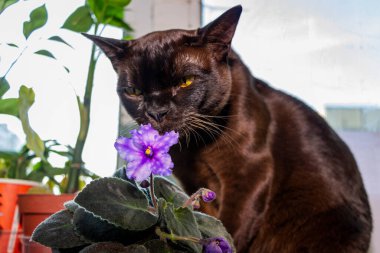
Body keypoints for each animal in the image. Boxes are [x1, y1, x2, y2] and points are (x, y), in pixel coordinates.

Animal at [83, 4, 372, 252]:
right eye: (133, 91)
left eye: (186, 81)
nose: (156, 112)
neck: (193, 148)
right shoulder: (194, 183)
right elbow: (204, 217)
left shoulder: (249, 172)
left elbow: (230, 229)